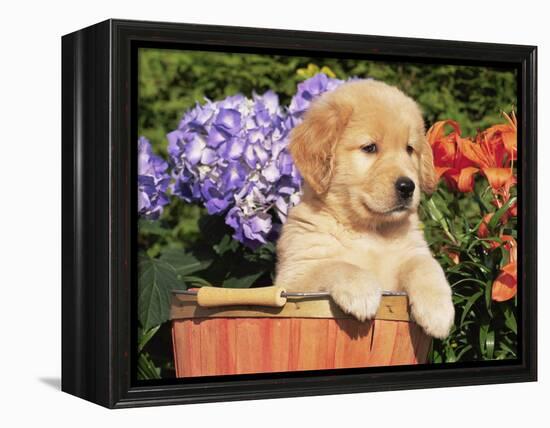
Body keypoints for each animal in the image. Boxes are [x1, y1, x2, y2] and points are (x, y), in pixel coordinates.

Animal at [278, 78, 454, 340]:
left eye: (409, 149)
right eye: (370, 147)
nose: (407, 187)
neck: (371, 230)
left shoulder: (413, 251)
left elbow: (426, 266)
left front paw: (439, 311)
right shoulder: (293, 277)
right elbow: (335, 265)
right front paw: (361, 291)